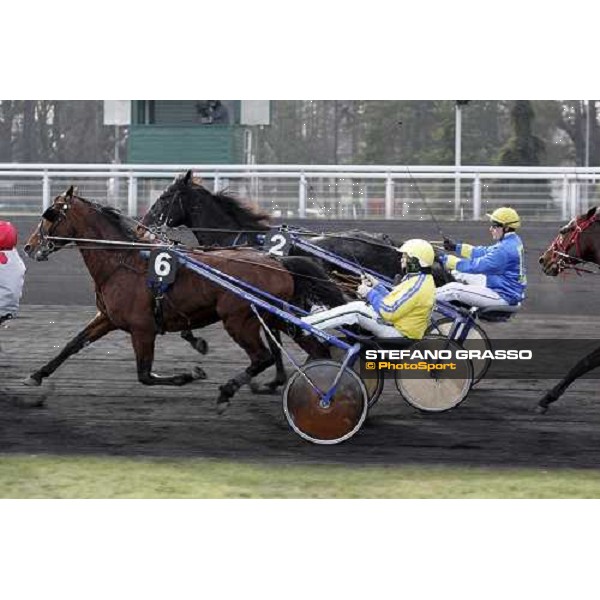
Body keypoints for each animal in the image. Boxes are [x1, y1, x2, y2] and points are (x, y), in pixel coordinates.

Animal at [23, 188, 342, 412]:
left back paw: (228, 392)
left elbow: (145, 375)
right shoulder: (108, 318)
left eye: (50, 215)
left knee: (262, 356)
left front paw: (190, 374)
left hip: (240, 320)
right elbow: (73, 344)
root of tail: (278, 262)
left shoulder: (142, 329)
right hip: (278, 317)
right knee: (314, 350)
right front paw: (37, 375)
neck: (124, 261)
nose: (29, 246)